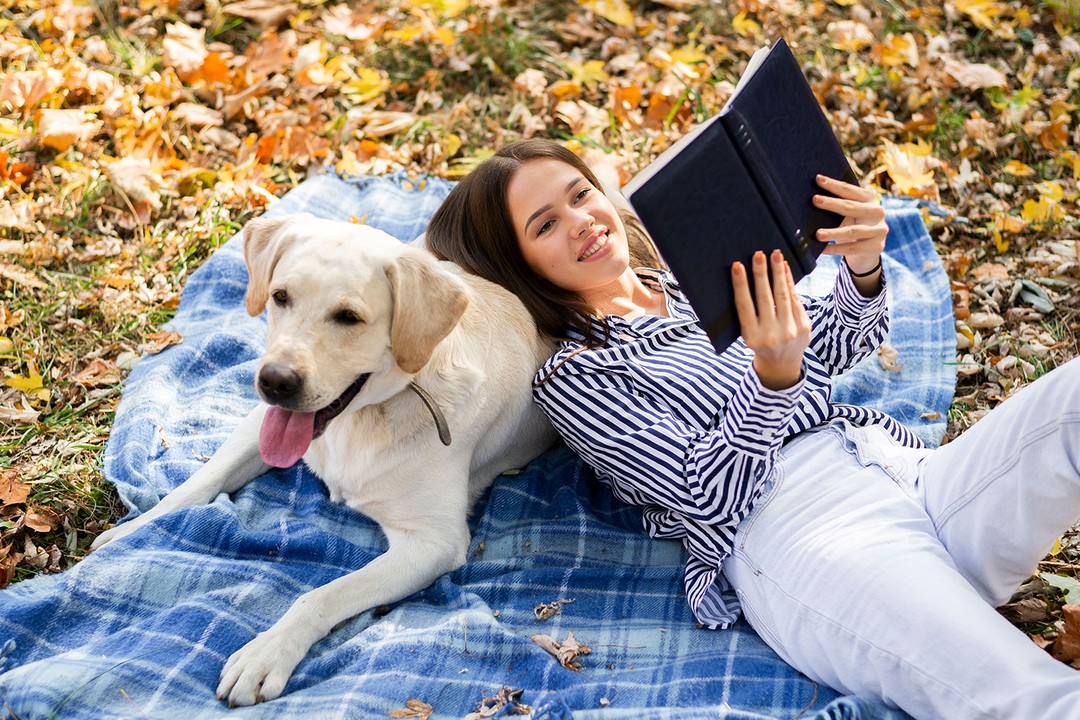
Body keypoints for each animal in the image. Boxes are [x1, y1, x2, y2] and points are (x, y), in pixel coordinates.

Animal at [92, 212, 557, 703]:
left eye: (349, 317)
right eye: (280, 296)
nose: (274, 381)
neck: (360, 420)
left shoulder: (434, 542)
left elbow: (322, 594)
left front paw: (266, 652)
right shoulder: (257, 426)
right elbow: (197, 484)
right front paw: (135, 530)